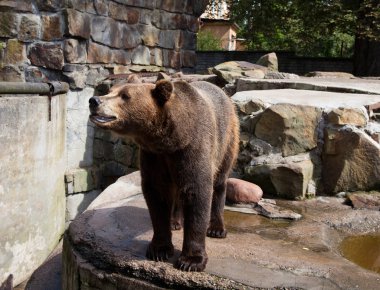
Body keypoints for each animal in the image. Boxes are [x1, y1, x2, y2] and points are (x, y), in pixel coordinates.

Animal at [88, 75, 238, 272]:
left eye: (125, 95)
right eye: (110, 90)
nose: (94, 100)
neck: (170, 139)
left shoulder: (193, 148)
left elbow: (197, 191)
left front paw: (191, 260)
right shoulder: (154, 156)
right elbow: (157, 195)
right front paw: (159, 249)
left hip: (227, 138)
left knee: (220, 180)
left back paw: (217, 228)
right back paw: (174, 221)